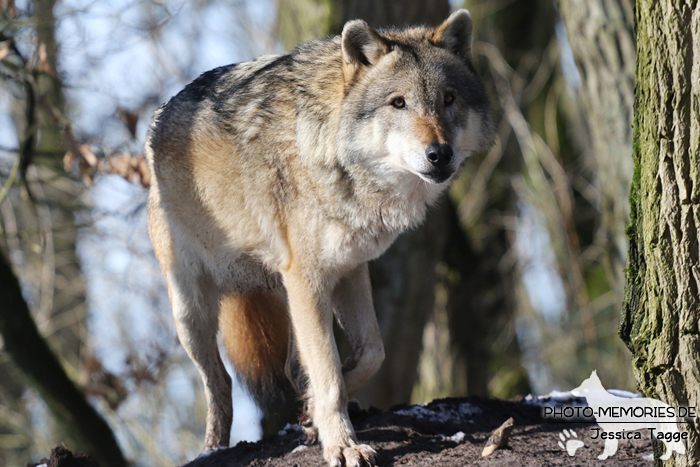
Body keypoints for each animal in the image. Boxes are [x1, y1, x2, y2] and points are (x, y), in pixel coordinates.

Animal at [144, 9, 492, 466]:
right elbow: (329, 376)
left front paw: (317, 415)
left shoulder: (349, 269)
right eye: (398, 102)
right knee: (220, 386)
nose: (440, 154)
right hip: (192, 312)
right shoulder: (309, 277)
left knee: (292, 366)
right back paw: (212, 449)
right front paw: (342, 444)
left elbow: (371, 352)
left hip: (285, 294)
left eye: (449, 99)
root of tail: (160, 116)